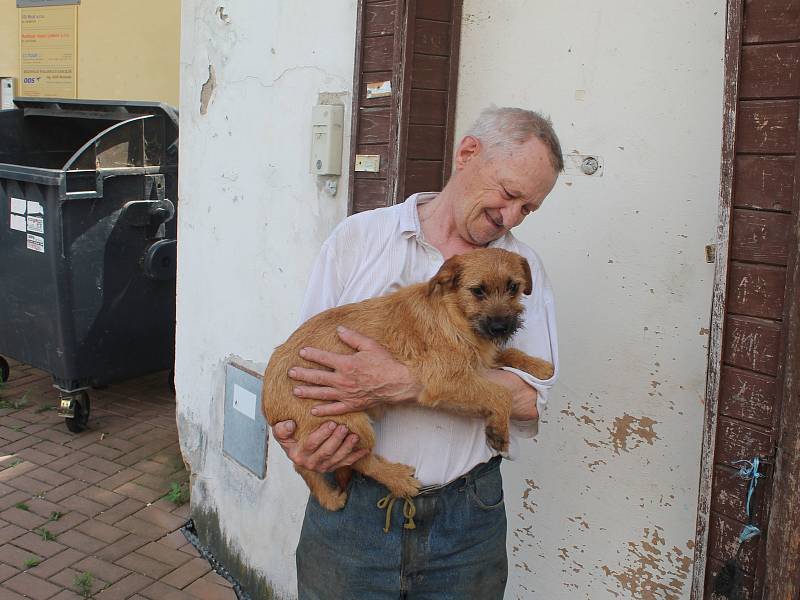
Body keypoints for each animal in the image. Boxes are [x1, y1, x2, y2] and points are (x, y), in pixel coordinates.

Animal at [260, 246, 552, 508]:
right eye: (477, 290)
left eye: (513, 287)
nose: (501, 327)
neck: (453, 314)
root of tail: (268, 405)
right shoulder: (445, 379)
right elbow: (501, 393)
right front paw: (499, 431)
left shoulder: (479, 363)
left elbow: (507, 354)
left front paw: (539, 367)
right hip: (350, 425)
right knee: (357, 460)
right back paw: (397, 480)